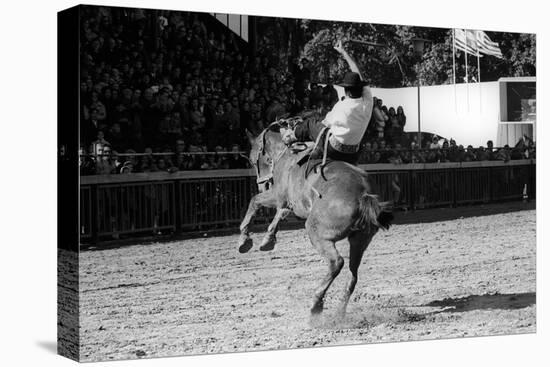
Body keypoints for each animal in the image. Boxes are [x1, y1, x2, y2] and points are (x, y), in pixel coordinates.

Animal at [237, 120, 392, 320]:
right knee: (353, 274)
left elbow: (255, 201)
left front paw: (245, 240)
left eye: (252, 158)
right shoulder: (287, 202)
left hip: (317, 232)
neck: (285, 155)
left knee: (336, 263)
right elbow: (280, 213)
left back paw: (316, 303)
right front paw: (267, 239)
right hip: (360, 240)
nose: (261, 185)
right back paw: (339, 313)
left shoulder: (278, 195)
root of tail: (363, 194)